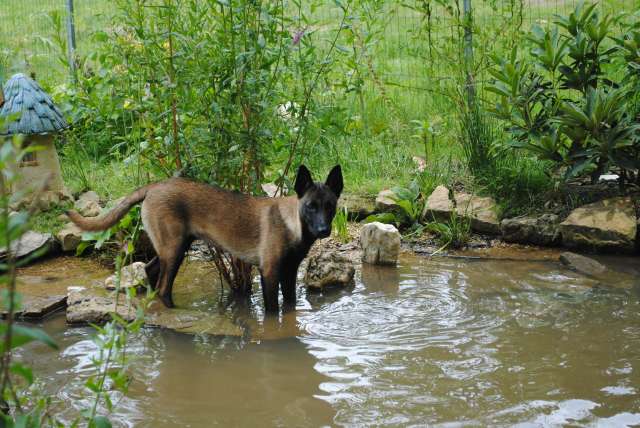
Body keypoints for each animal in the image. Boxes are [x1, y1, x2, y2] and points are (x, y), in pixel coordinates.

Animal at [67, 164, 342, 310]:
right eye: (311, 207)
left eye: (330, 206)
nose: (323, 230)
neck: (292, 224)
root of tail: (155, 186)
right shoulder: (270, 273)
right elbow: (273, 313)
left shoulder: (289, 273)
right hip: (174, 251)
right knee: (163, 288)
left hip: (171, 248)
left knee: (150, 271)